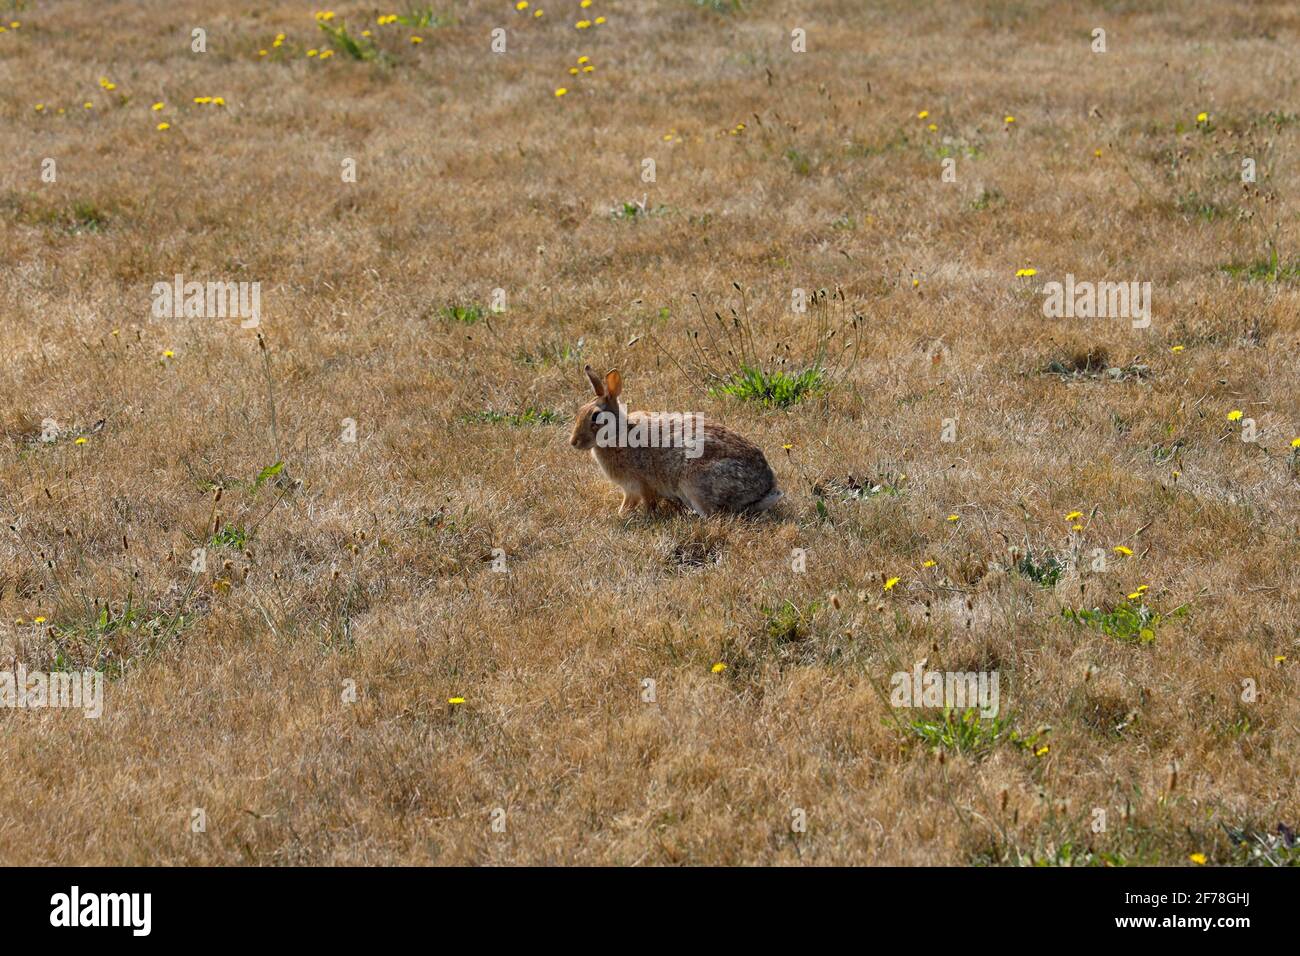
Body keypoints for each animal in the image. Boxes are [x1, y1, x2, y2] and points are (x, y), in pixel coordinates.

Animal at [570, 365, 783, 517]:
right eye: (580, 411)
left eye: (596, 417)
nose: (573, 442)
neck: (618, 433)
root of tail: (764, 488)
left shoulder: (639, 484)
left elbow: (644, 503)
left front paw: (633, 516)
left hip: (695, 483)